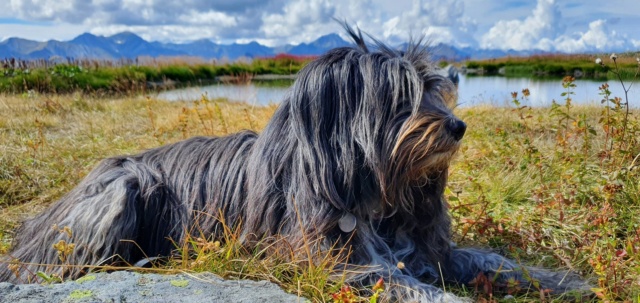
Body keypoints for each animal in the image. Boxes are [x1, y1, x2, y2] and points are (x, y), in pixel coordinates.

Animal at [1, 27, 592, 302]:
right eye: (401, 97)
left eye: (438, 90)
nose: (457, 127)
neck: (376, 192)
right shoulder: (333, 262)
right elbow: (411, 285)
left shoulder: (425, 249)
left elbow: (492, 260)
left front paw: (565, 281)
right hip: (121, 188)